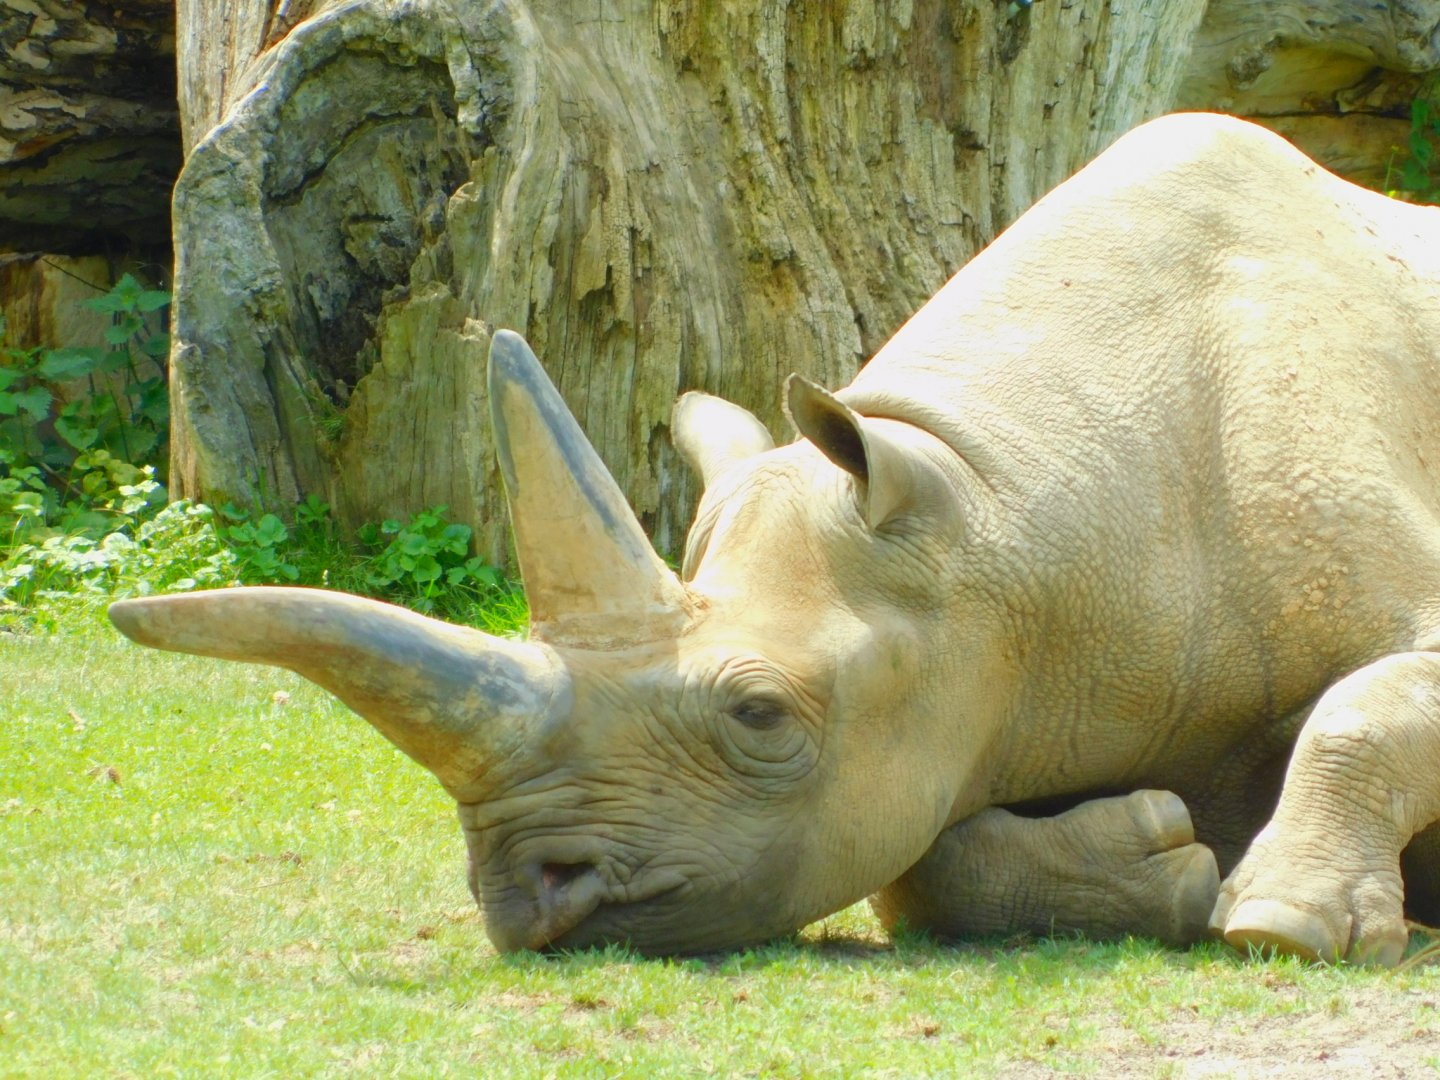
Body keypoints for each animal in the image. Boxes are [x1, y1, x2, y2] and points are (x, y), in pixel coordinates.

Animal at [110, 112, 1440, 965]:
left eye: (757, 716)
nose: (524, 894)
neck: (1004, 515)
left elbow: (1368, 706)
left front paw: (1281, 927)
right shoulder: (976, 686)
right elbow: (923, 861)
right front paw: (1166, 860)